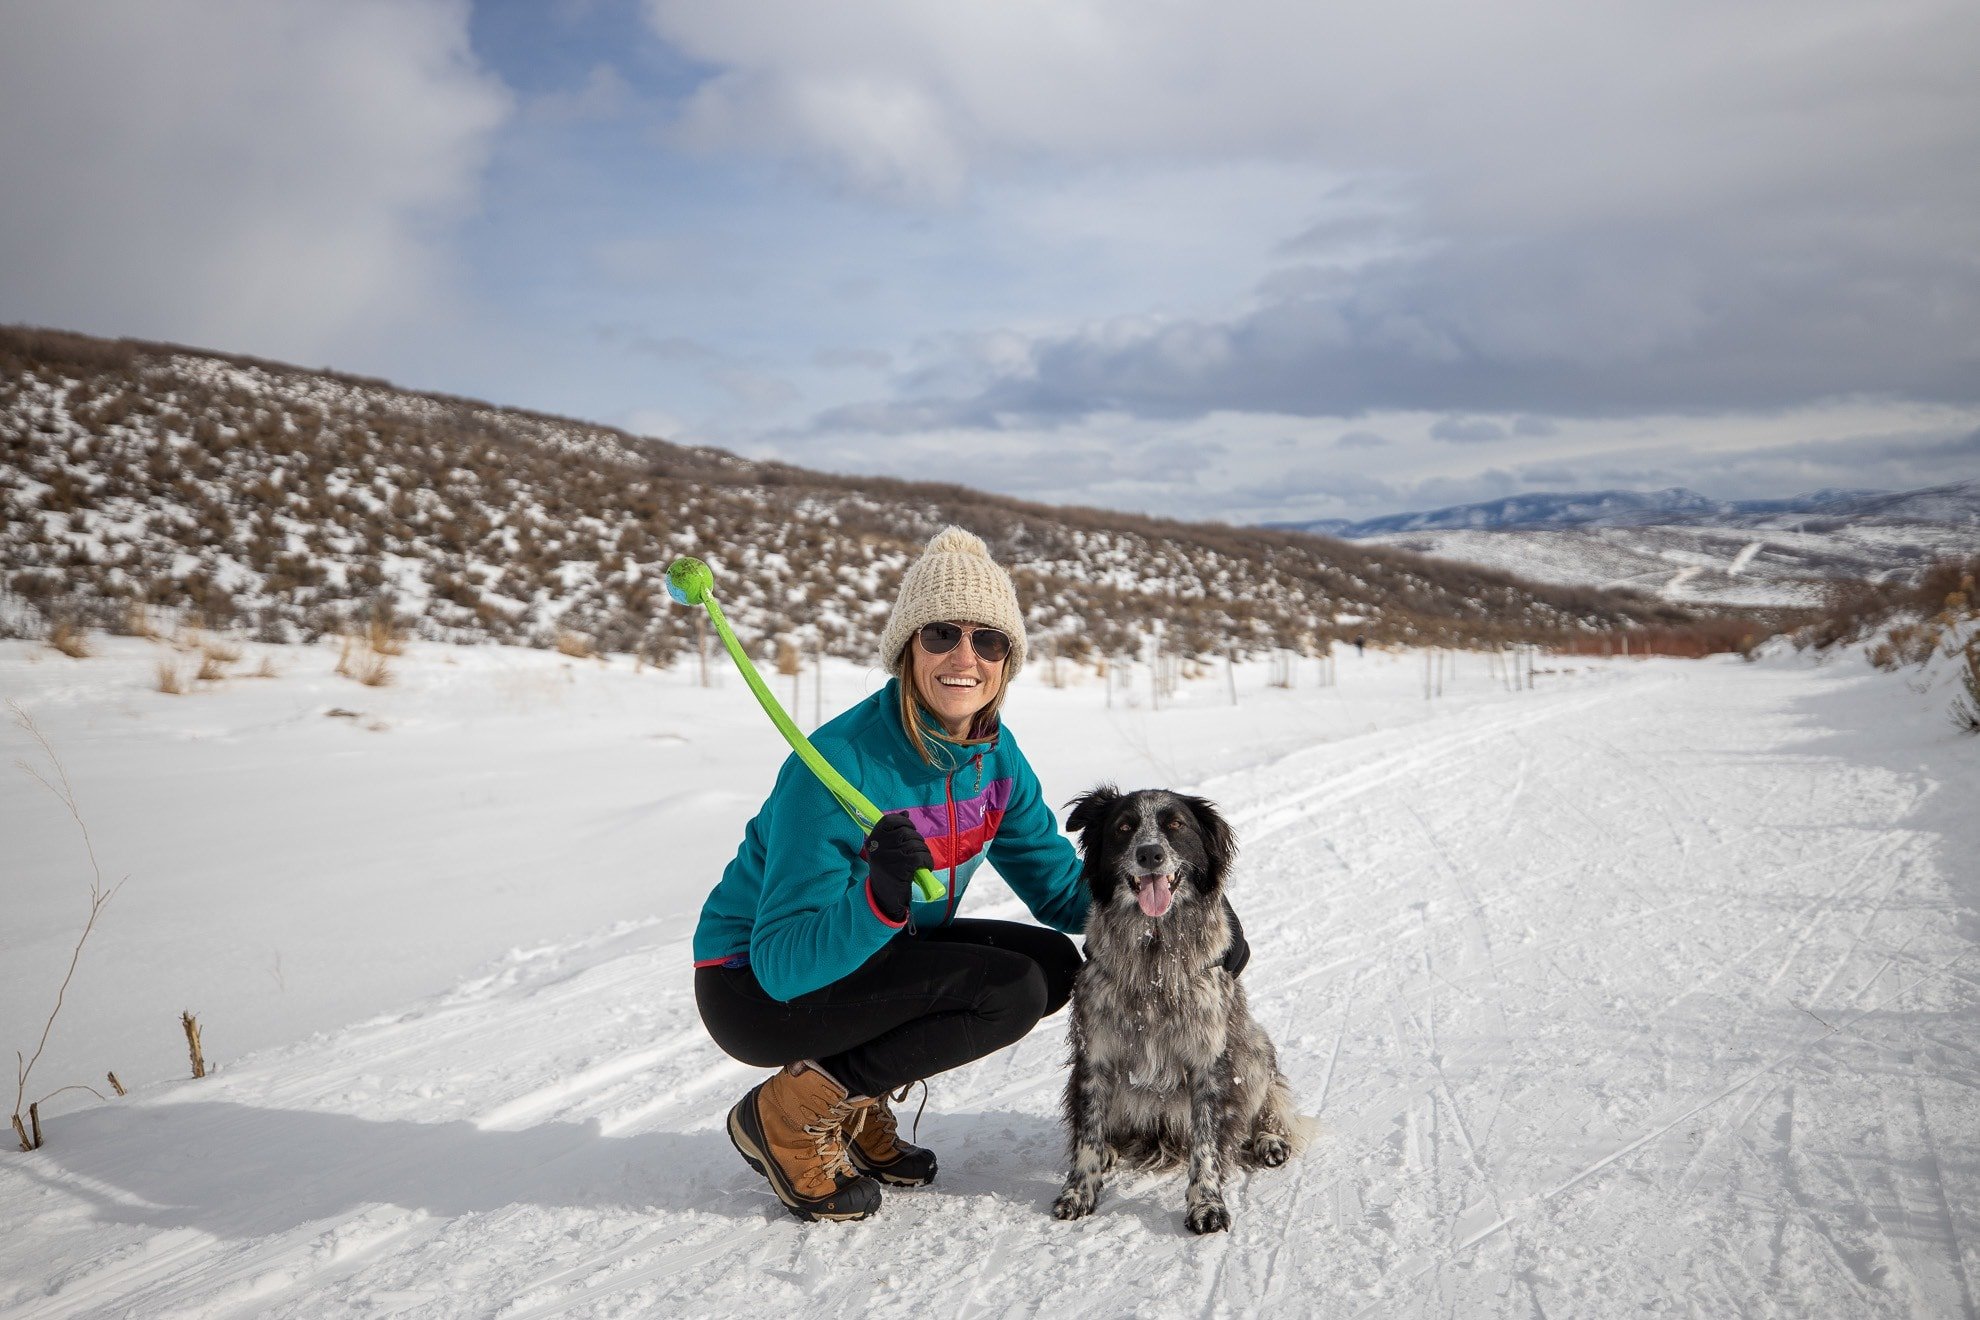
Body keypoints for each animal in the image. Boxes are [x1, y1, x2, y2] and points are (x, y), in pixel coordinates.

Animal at [1053, 791, 1314, 1234]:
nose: (1150, 853)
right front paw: (1078, 1192)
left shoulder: (1210, 1059)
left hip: (1254, 1046)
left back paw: (1269, 1139)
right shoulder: (1095, 1055)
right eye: (1124, 827)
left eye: (1176, 825)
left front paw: (1206, 1204)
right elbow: (1088, 1133)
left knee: (1265, 1101)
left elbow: (1206, 1144)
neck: (1155, 952)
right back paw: (1110, 1150)